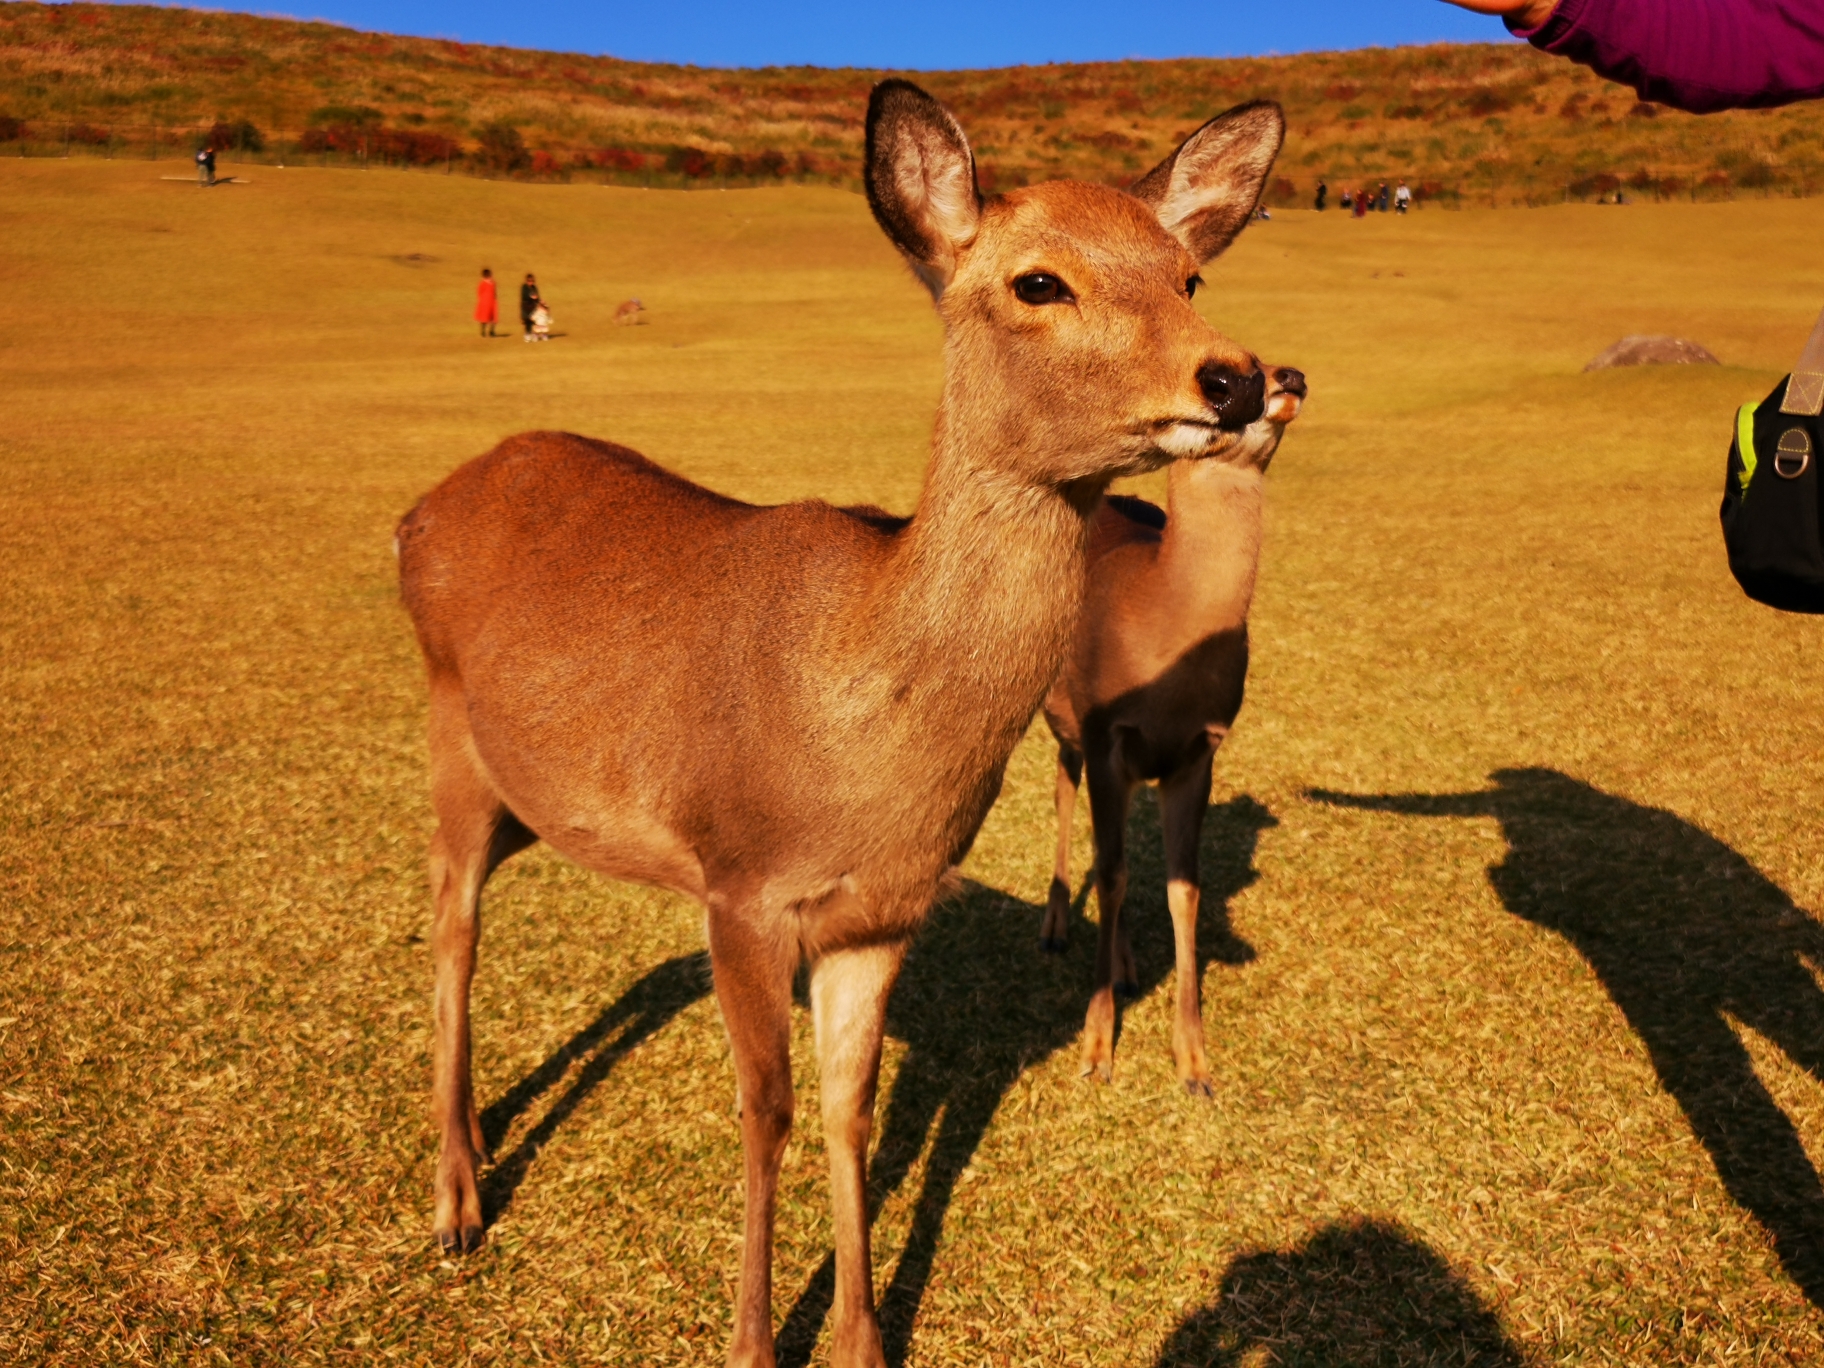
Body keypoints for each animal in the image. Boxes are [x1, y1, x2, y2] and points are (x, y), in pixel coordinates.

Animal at [1036, 377, 1305, 1101]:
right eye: (1241, 376)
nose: (1291, 379)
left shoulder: (1198, 751)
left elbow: (1184, 888)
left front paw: (1195, 1062)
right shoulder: (1105, 730)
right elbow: (1112, 871)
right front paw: (1096, 1049)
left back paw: (1126, 962)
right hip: (1063, 721)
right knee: (1065, 793)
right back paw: (1056, 926)